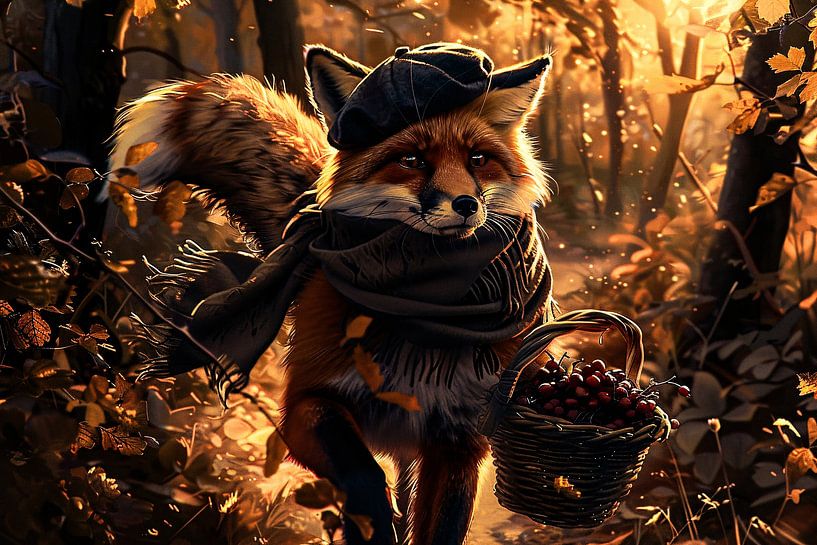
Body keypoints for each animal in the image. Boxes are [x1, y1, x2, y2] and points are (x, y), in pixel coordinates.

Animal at [110, 43, 555, 545]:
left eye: (478, 159)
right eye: (412, 160)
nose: (465, 205)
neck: (425, 307)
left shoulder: (461, 437)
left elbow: (441, 527)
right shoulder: (308, 404)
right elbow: (363, 479)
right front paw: (373, 525)